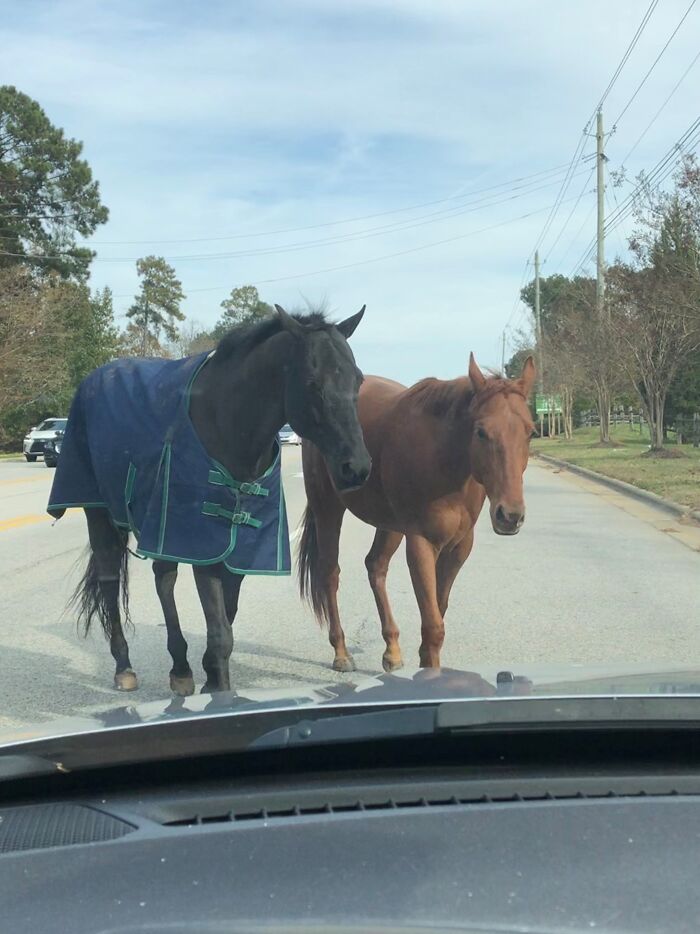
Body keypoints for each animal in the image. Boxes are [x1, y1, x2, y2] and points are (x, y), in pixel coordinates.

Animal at [48, 306, 371, 695]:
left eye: (358, 380)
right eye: (313, 383)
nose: (357, 468)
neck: (228, 424)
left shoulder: (234, 546)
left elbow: (225, 619)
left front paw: (209, 675)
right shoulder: (204, 544)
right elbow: (221, 632)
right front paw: (218, 688)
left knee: (164, 577)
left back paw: (180, 667)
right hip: (101, 513)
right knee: (111, 581)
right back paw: (124, 666)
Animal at [298, 352, 536, 672]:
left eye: (530, 432)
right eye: (481, 432)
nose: (509, 515)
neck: (445, 460)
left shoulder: (459, 547)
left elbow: (438, 610)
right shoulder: (422, 543)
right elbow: (433, 624)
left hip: (389, 524)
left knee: (376, 566)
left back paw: (392, 649)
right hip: (328, 508)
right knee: (329, 573)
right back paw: (341, 652)